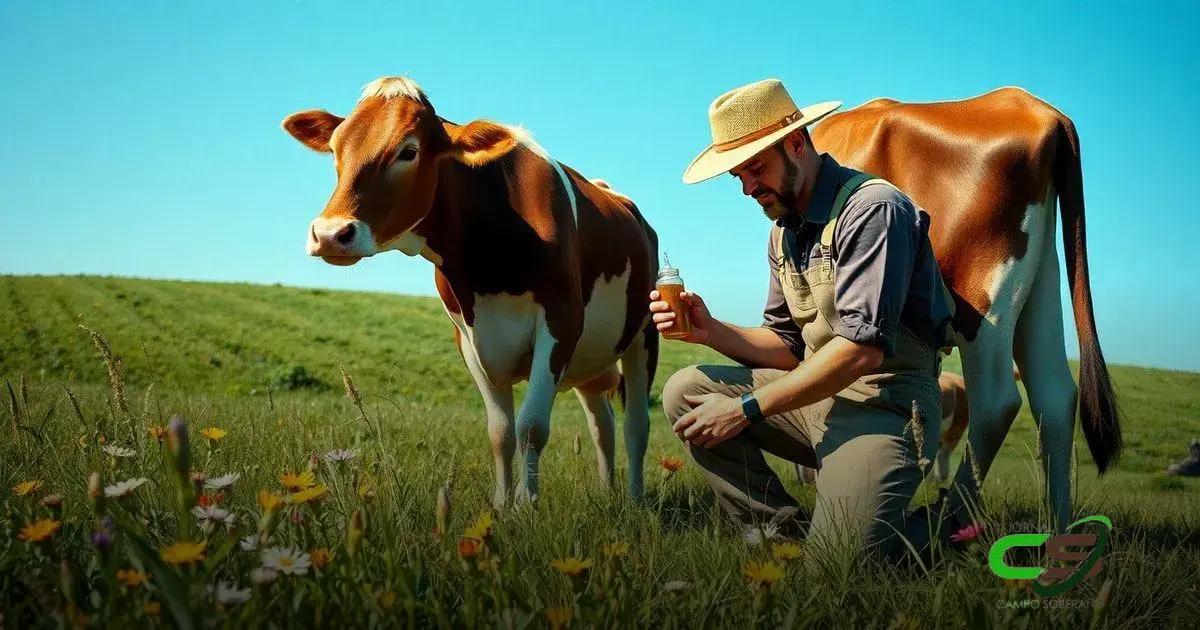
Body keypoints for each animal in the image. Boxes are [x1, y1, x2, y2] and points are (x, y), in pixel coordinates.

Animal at [280, 75, 657, 506]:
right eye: (336, 148)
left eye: (408, 151)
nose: (329, 234)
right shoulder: (468, 337)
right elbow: (499, 432)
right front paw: (501, 505)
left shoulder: (561, 323)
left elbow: (531, 427)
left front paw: (526, 505)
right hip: (591, 362)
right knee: (602, 423)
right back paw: (608, 492)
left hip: (645, 334)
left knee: (636, 426)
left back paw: (635, 500)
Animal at [811, 87, 1118, 525]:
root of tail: (1037, 109)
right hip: (1041, 285)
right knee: (1055, 397)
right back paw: (1058, 527)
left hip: (982, 296)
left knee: (997, 402)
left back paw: (949, 518)